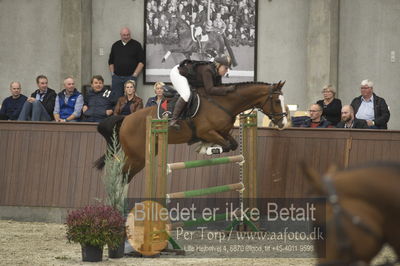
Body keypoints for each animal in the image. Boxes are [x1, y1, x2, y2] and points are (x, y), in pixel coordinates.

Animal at [98, 81, 290, 182]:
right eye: (276, 101)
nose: (283, 123)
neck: (224, 103)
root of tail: (125, 119)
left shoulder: (223, 132)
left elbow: (233, 145)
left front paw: (206, 148)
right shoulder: (207, 131)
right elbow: (225, 145)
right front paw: (207, 149)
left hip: (148, 152)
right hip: (137, 156)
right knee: (123, 176)